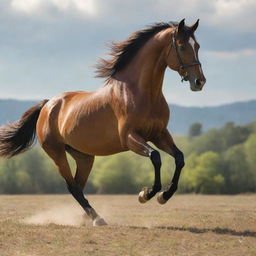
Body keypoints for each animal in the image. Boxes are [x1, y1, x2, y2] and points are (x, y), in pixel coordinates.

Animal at [0, 18, 206, 226]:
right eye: (181, 46)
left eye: (197, 46)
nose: (199, 82)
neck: (141, 93)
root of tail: (48, 104)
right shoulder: (130, 138)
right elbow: (156, 157)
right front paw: (146, 194)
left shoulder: (159, 134)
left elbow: (179, 158)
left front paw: (164, 196)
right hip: (57, 154)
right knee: (72, 187)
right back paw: (98, 218)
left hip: (84, 157)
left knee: (78, 186)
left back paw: (87, 218)